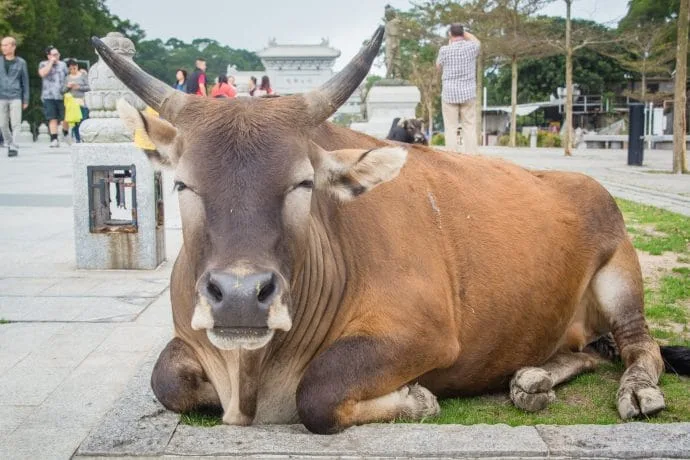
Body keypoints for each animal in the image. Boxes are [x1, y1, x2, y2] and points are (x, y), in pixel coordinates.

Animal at [93, 28, 690, 435]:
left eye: (303, 183)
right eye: (181, 184)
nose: (240, 296)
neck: (252, 374)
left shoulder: (424, 333)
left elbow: (318, 391)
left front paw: (416, 400)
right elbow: (165, 380)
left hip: (621, 273)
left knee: (641, 346)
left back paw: (637, 392)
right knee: (586, 352)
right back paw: (531, 380)